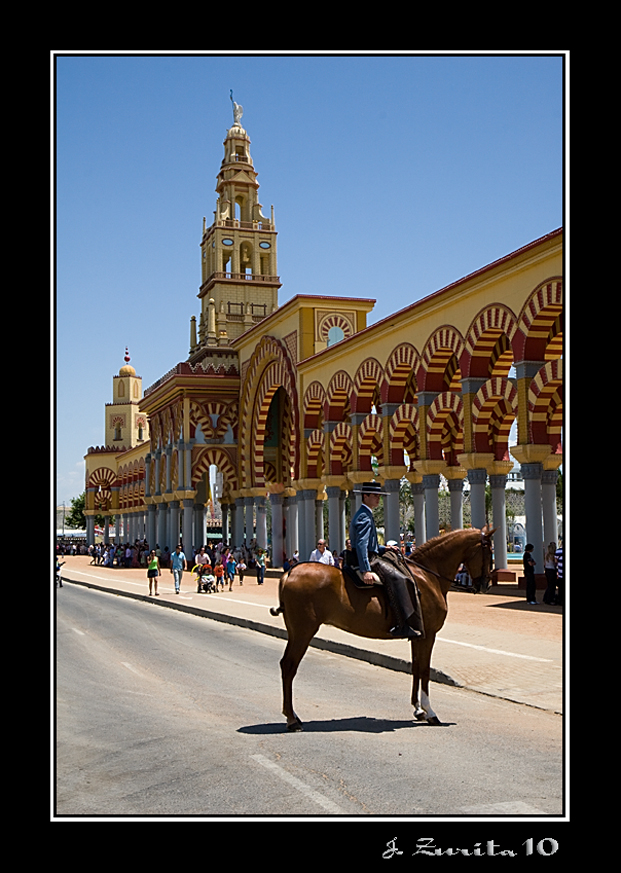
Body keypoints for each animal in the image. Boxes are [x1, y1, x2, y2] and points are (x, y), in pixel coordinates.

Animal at [268, 524, 492, 728]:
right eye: (488, 551)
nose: (485, 584)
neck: (428, 576)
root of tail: (290, 572)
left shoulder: (418, 634)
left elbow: (416, 668)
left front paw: (418, 709)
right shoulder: (429, 635)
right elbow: (425, 671)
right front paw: (430, 712)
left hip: (295, 631)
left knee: (286, 665)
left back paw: (292, 716)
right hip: (303, 631)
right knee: (289, 666)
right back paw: (292, 719)